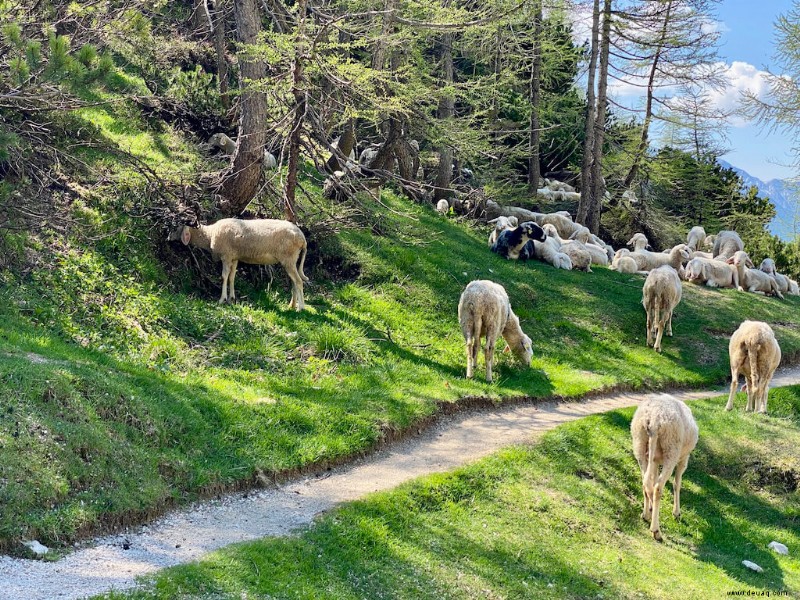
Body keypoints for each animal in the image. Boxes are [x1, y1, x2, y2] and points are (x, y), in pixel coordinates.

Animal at [172, 218, 310, 312]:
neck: (210, 234)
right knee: (294, 282)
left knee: (298, 281)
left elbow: (224, 276)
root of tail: (303, 239)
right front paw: (231, 298)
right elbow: (232, 277)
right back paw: (292, 305)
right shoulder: (234, 258)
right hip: (291, 260)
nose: (168, 237)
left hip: (289, 258)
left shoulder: (226, 256)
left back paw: (301, 308)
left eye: (176, 228)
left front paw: (222, 299)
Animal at [632, 396, 700, 540]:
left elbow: (652, 479)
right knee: (658, 488)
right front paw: (677, 513)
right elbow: (677, 484)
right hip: (672, 450)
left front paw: (651, 510)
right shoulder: (684, 459)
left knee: (646, 484)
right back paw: (656, 530)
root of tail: (652, 419)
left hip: (639, 445)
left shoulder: (655, 459)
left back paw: (646, 515)